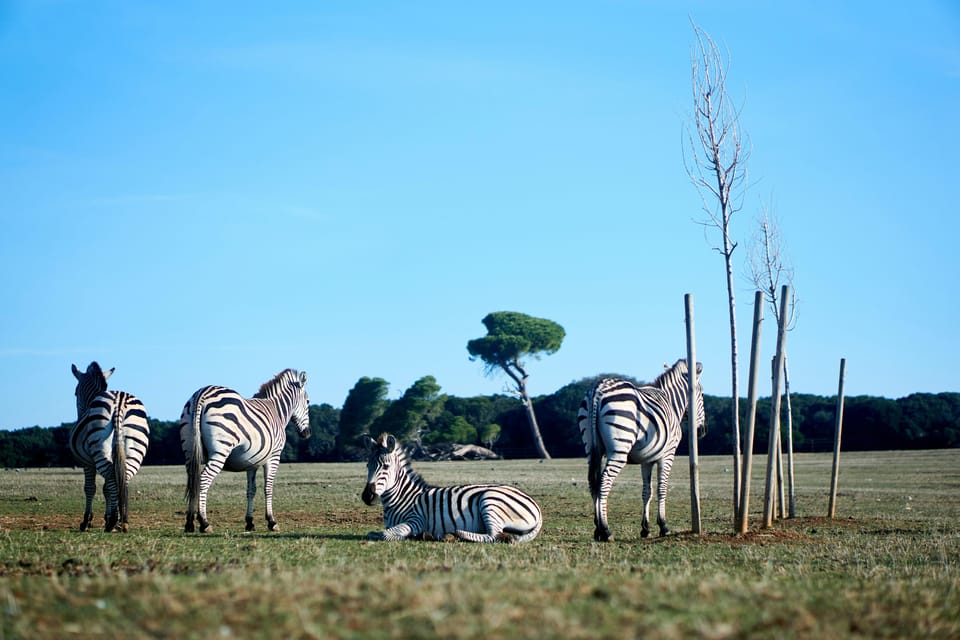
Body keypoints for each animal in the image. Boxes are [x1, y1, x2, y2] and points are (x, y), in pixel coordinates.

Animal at [69, 362, 150, 532]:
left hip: (100, 449)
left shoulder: (87, 462)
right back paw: (122, 521)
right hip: (135, 449)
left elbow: (90, 487)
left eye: (75, 393)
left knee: (112, 478)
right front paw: (108, 517)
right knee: (123, 478)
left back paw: (113, 521)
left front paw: (86, 521)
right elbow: (107, 488)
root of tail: (119, 402)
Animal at [180, 368, 312, 532]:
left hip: (189, 452)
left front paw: (250, 522)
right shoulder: (274, 456)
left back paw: (189, 523)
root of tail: (202, 393)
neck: (276, 410)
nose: (307, 433)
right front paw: (271, 521)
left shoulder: (252, 461)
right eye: (308, 402)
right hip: (220, 451)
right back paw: (204, 522)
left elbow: (251, 490)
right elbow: (268, 488)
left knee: (193, 480)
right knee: (203, 479)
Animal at [362, 432, 544, 544]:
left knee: (495, 535)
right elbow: (376, 533)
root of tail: (534, 504)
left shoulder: (416, 520)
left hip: (490, 501)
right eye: (367, 465)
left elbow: (383, 535)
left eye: (386, 467)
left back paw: (455, 534)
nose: (367, 496)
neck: (402, 498)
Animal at [576, 358, 704, 544]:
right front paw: (663, 526)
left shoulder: (647, 460)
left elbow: (647, 492)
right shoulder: (667, 455)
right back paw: (606, 530)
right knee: (604, 482)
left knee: (593, 482)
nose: (701, 431)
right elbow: (662, 489)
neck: (671, 402)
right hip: (619, 449)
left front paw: (645, 528)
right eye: (701, 394)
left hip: (592, 449)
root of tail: (598, 389)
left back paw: (597, 529)